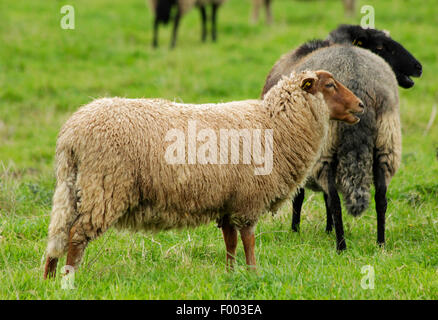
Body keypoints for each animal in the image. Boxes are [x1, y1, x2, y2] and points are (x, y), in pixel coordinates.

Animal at [42, 70, 362, 278]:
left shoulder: (229, 201)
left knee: (58, 232)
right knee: (75, 235)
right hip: (104, 186)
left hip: (73, 186)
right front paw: (254, 273)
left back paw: (49, 278)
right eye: (330, 85)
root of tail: (72, 133)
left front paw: (231, 275)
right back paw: (69, 280)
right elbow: (248, 240)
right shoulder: (248, 199)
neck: (276, 126)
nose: (360, 105)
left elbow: (231, 242)